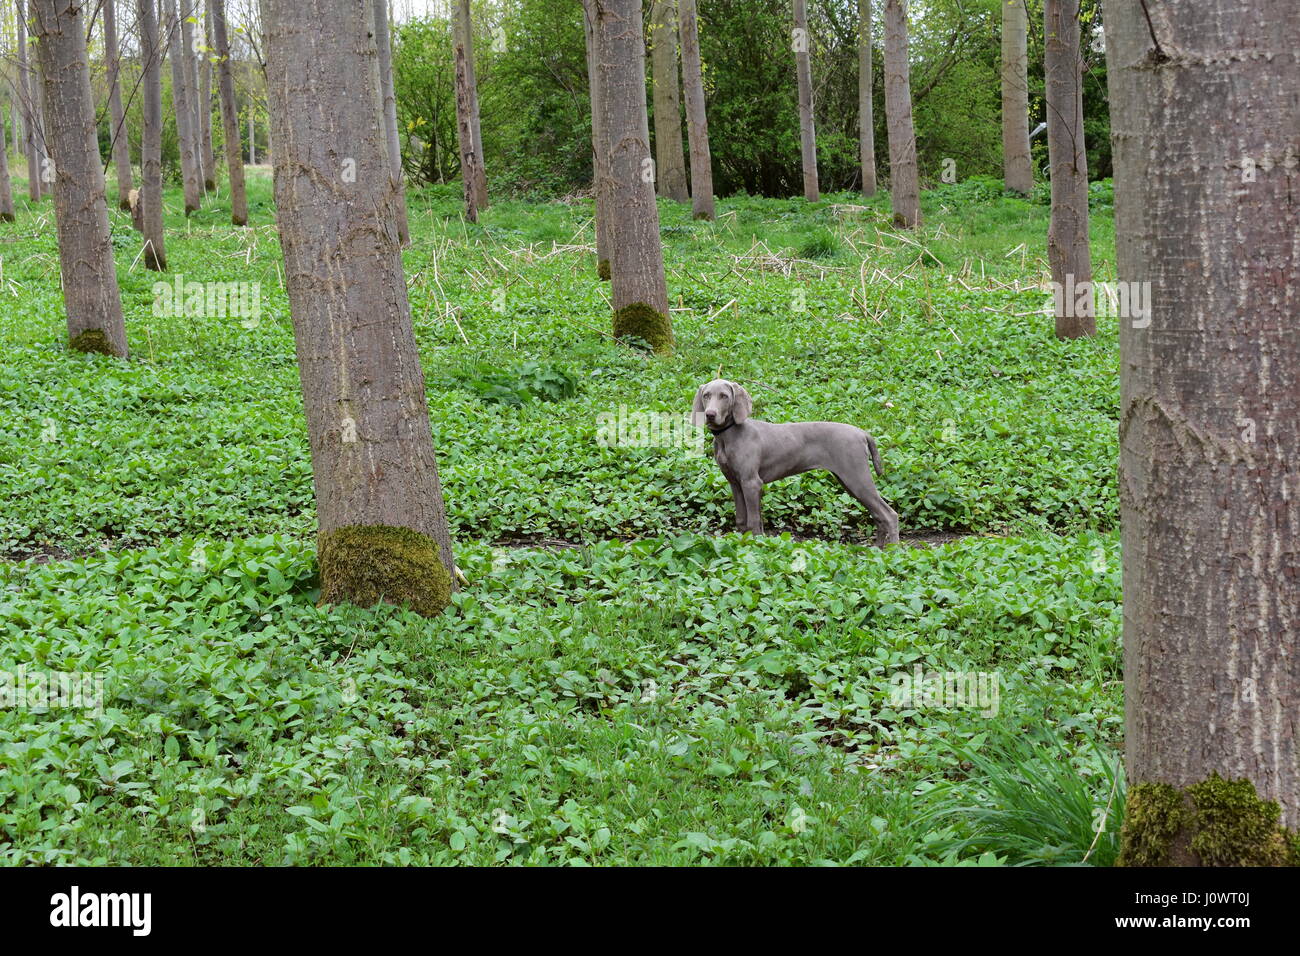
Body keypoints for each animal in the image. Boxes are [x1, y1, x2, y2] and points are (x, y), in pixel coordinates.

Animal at [691, 382, 904, 546]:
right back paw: (877, 549)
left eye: (724, 396)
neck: (728, 436)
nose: (710, 414)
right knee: (878, 515)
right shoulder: (736, 483)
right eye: (706, 395)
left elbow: (753, 520)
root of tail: (862, 433)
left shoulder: (751, 482)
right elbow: (743, 520)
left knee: (889, 514)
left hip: (857, 478)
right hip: (850, 482)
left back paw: (892, 552)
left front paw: (756, 546)